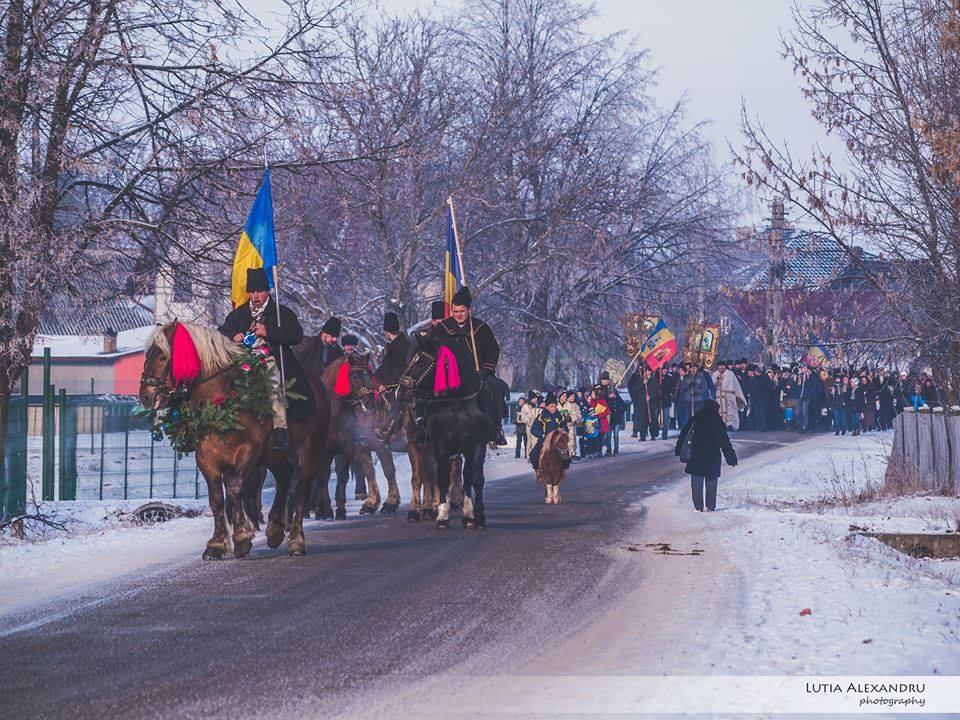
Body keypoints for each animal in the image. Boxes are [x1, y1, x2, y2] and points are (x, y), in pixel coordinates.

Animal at [137, 322, 328, 564]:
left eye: (162, 356)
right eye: (147, 355)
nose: (145, 396)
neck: (220, 401)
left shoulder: (248, 451)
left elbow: (235, 487)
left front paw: (242, 538)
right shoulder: (206, 459)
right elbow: (216, 498)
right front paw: (217, 544)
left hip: (310, 450)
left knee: (301, 488)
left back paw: (296, 541)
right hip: (272, 455)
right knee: (284, 477)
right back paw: (275, 530)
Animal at [378, 334, 492, 528]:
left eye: (423, 363)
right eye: (410, 360)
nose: (400, 391)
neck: (458, 405)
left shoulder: (475, 445)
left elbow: (472, 478)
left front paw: (473, 516)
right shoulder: (426, 446)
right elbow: (427, 478)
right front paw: (428, 512)